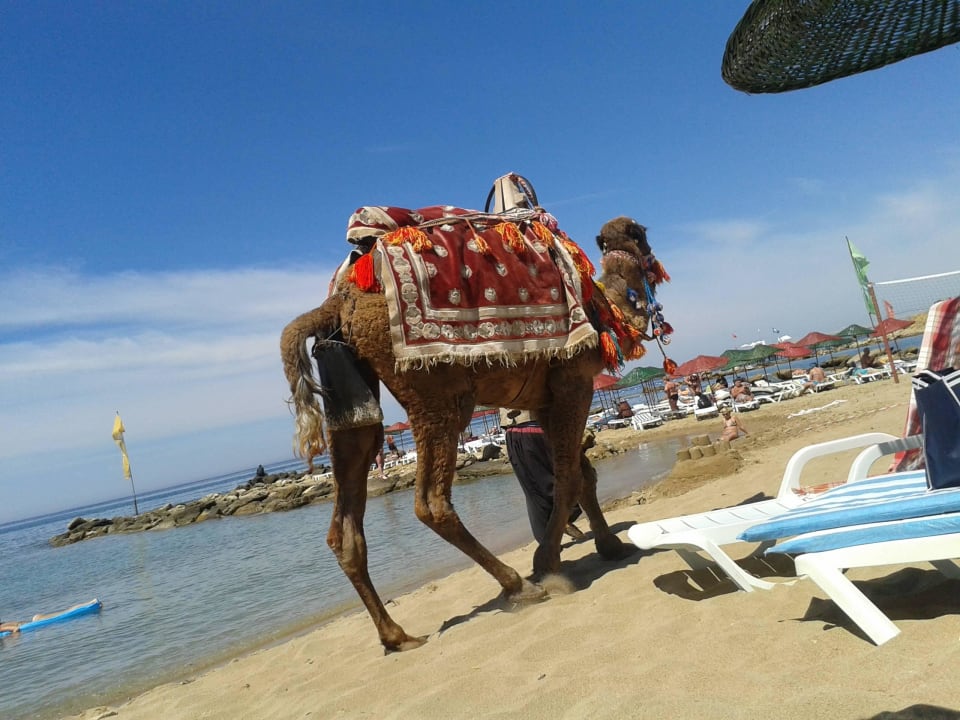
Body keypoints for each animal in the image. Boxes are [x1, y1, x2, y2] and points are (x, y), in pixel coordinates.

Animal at [280, 203, 670, 652]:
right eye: (642, 234)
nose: (650, 256)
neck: (605, 309)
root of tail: (340, 300)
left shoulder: (546, 398)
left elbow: (582, 474)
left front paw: (609, 546)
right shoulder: (574, 381)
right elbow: (569, 477)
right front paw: (548, 562)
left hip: (352, 398)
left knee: (346, 521)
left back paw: (397, 636)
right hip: (437, 393)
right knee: (430, 501)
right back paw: (519, 586)